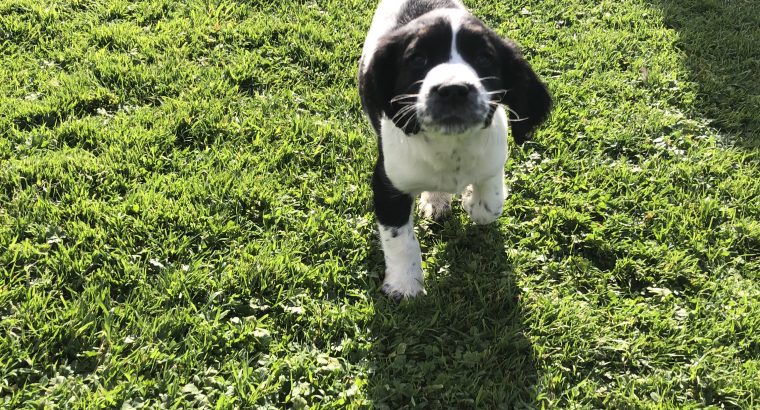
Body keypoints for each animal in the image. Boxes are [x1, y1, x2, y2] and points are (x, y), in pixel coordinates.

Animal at [360, 0, 548, 302]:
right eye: (418, 59)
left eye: (484, 58)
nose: (453, 90)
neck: (450, 144)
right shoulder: (388, 183)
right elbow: (400, 238)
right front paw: (405, 285)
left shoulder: (494, 159)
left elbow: (491, 205)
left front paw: (472, 200)